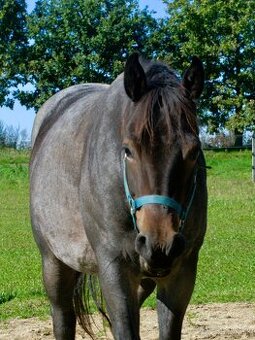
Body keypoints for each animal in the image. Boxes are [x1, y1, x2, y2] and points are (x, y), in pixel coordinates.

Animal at [29, 53, 207, 340]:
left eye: (193, 151)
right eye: (128, 150)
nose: (160, 243)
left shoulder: (181, 271)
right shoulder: (114, 269)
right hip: (53, 262)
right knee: (63, 316)